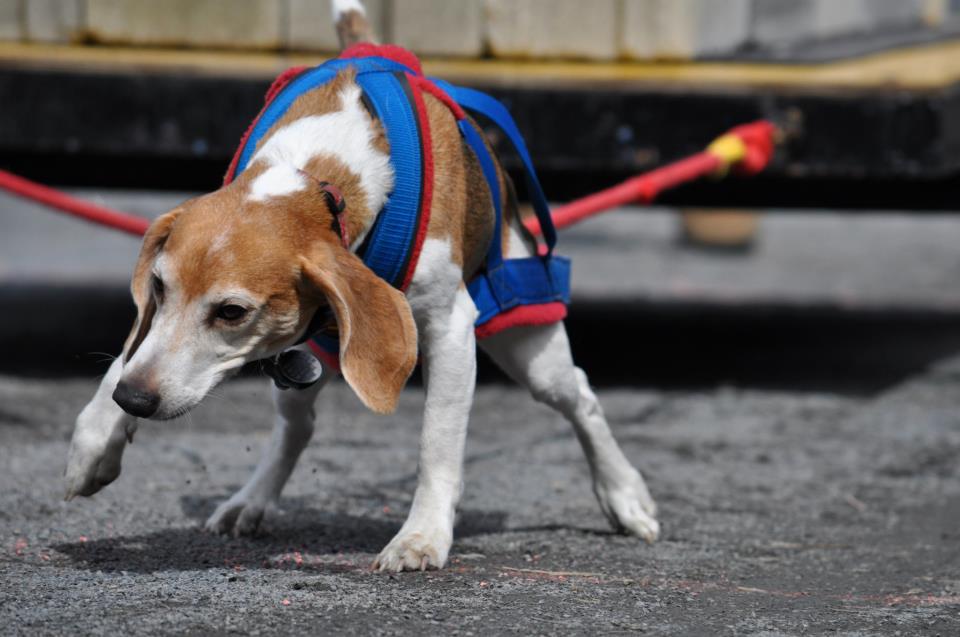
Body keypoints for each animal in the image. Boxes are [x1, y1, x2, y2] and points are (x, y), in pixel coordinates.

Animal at [62, 0, 660, 572]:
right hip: (304, 365)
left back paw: (624, 494)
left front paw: (422, 536)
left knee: (579, 397)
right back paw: (251, 499)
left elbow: (437, 443)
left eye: (231, 312)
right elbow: (131, 353)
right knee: (297, 428)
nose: (134, 400)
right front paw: (95, 438)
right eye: (158, 288)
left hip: (530, 348)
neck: (317, 179)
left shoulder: (450, 331)